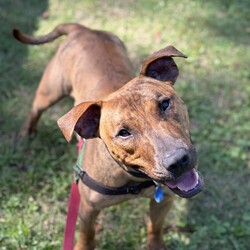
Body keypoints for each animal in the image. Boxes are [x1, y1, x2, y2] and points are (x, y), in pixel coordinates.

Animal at [13, 23, 203, 250]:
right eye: (123, 133)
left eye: (165, 104)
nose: (178, 161)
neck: (133, 177)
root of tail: (82, 29)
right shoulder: (88, 208)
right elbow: (87, 237)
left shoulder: (164, 200)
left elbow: (155, 228)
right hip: (49, 91)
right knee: (35, 110)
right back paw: (25, 134)